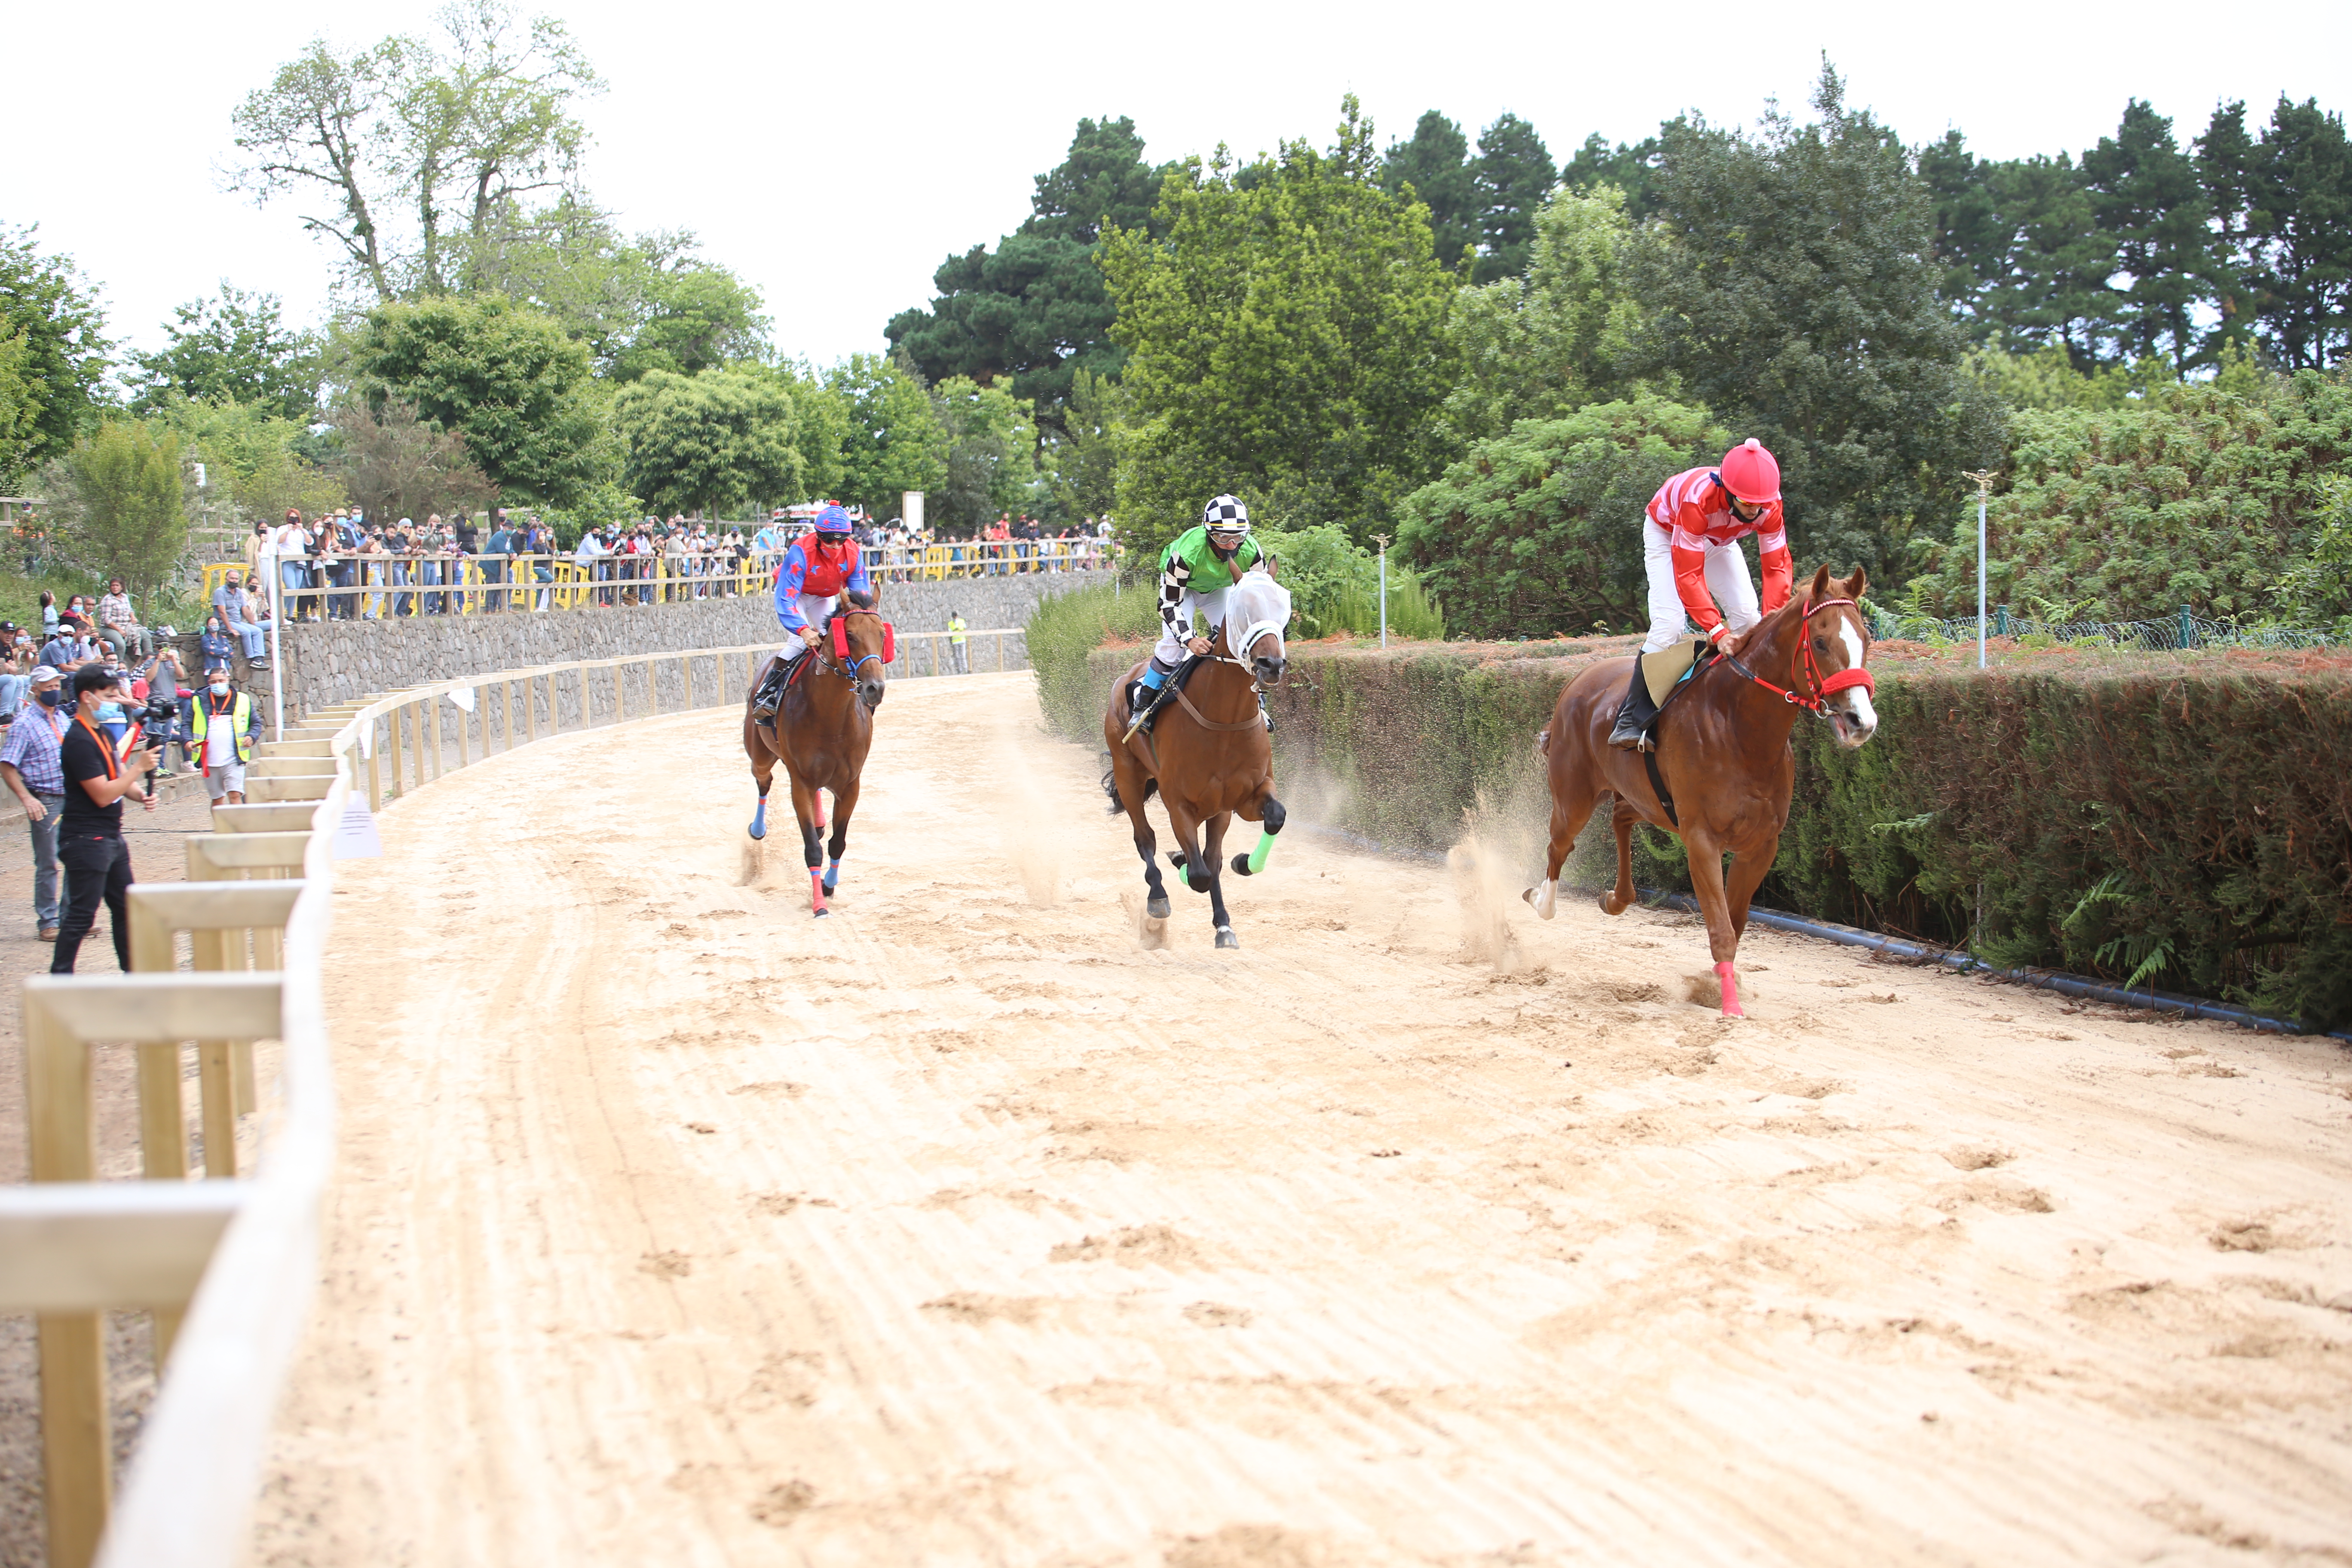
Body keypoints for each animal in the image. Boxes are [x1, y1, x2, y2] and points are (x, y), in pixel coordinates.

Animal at [748, 606, 894, 921]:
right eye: (849, 635)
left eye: (882, 634)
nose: (875, 688)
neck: (831, 715)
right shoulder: (800, 783)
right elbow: (813, 850)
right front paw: (819, 905)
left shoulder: (851, 784)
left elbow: (838, 843)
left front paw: (828, 886)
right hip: (760, 755)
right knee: (764, 781)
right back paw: (758, 828)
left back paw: (818, 824)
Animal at [1524, 564, 1891, 1020]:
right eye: (1821, 642)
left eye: (1866, 639)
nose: (1862, 721)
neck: (1740, 726)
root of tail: (1578, 679)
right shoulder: (1701, 839)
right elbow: (1721, 929)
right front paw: (1728, 1003)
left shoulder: (1761, 845)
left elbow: (1734, 922)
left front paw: (1717, 984)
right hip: (1574, 795)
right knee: (1559, 846)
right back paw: (1542, 901)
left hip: (1648, 800)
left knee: (1620, 818)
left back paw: (1617, 897)